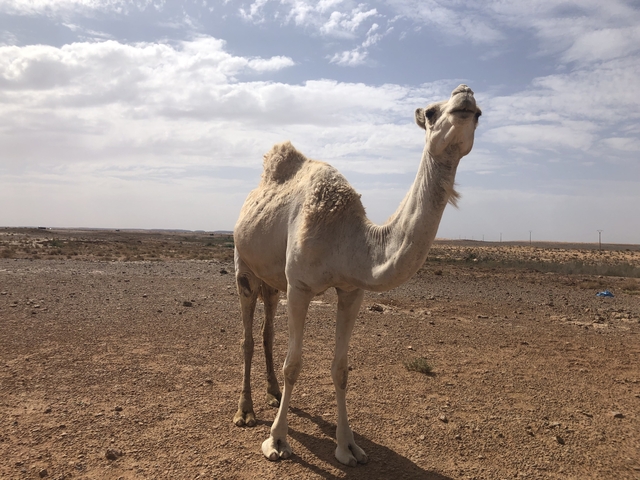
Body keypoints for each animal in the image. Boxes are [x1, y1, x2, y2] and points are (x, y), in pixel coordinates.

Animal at [232, 84, 481, 466]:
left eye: (479, 113)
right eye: (431, 112)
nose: (464, 93)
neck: (348, 236)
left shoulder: (351, 290)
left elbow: (341, 369)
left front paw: (348, 447)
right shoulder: (300, 286)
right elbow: (295, 364)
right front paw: (276, 441)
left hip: (272, 280)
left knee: (266, 330)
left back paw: (273, 393)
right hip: (243, 265)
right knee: (247, 335)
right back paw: (245, 412)